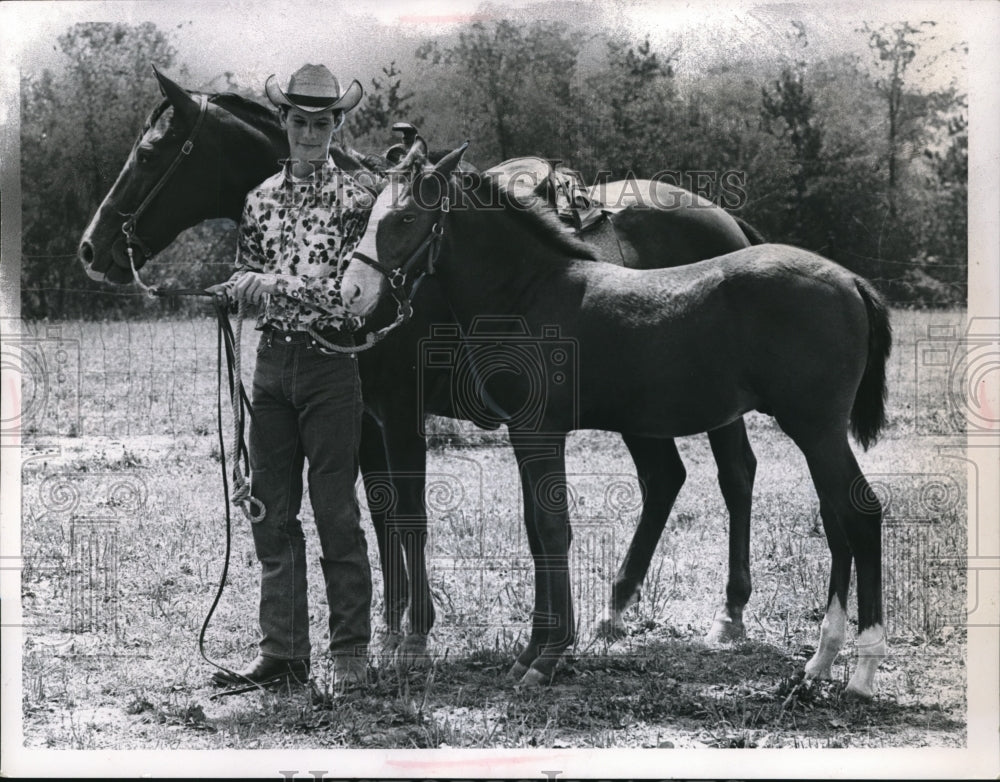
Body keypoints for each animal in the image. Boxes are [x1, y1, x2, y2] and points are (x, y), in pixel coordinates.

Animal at [79, 67, 766, 665]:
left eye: (149, 154)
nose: (92, 249)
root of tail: (728, 220)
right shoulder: (365, 418)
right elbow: (382, 515)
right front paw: (390, 625)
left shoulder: (402, 410)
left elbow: (410, 513)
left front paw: (415, 634)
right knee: (664, 480)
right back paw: (614, 611)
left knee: (733, 474)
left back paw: (729, 614)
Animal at [341, 143, 892, 697]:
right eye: (365, 216)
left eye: (406, 217)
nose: (353, 293)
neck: (530, 291)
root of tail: (850, 280)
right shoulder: (519, 432)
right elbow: (536, 532)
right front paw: (530, 654)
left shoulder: (530, 429)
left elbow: (550, 530)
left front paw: (546, 657)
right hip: (808, 431)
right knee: (829, 516)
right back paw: (818, 661)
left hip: (814, 427)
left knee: (857, 513)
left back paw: (859, 673)